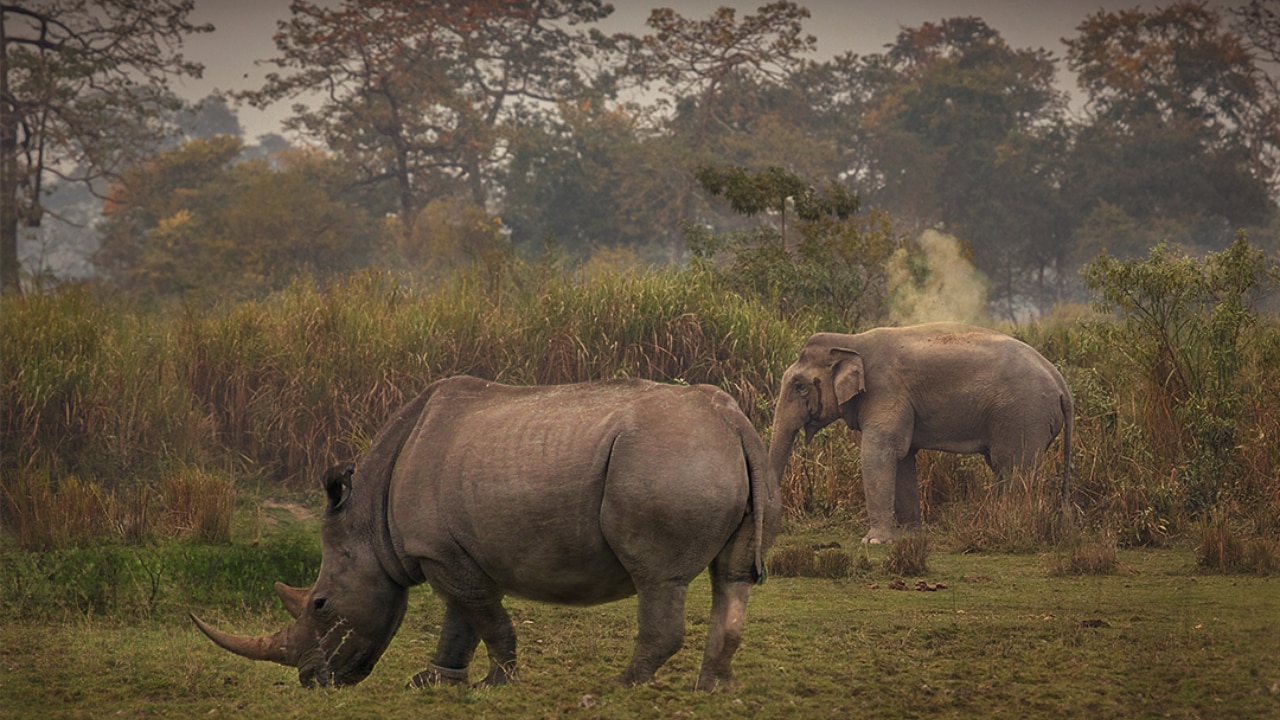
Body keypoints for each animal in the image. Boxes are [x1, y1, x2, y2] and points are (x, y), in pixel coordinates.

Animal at [185, 371, 773, 686]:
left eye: (320, 605)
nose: (312, 681)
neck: (367, 522)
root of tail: (734, 420)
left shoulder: (437, 552)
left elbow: (484, 617)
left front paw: (497, 682)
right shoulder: (447, 552)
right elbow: (461, 618)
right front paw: (433, 682)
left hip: (664, 456)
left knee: (658, 578)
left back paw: (623, 686)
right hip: (708, 454)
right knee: (732, 577)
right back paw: (713, 689)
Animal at [768, 322, 1070, 540]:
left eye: (800, 386)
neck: (851, 341)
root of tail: (1060, 382)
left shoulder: (885, 389)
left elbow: (880, 452)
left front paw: (874, 541)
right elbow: (902, 458)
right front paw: (911, 536)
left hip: (1024, 415)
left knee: (1013, 468)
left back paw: (1011, 527)